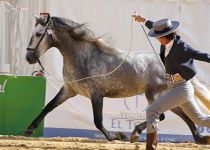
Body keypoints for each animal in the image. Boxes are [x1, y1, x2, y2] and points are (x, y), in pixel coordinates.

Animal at [25, 14, 209, 144]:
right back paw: (199, 139)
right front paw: (29, 130)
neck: (83, 57)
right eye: (32, 33)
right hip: (166, 96)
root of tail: (166, 65)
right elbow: (48, 107)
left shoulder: (96, 94)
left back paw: (135, 133)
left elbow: (98, 121)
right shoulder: (69, 89)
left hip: (153, 94)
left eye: (39, 34)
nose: (28, 58)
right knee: (182, 115)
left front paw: (116, 136)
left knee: (162, 116)